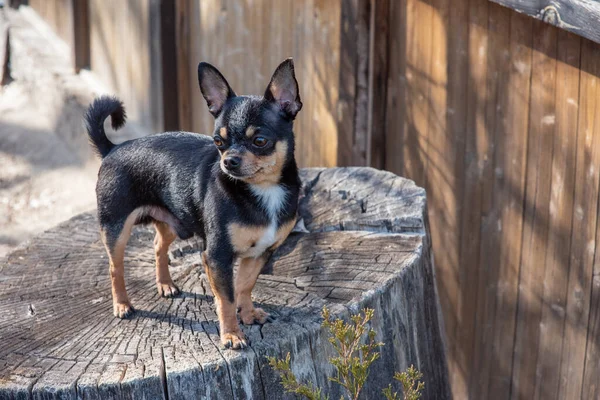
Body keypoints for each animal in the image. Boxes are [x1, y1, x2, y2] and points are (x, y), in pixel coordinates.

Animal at [85, 57, 300, 348]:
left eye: (260, 141)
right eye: (218, 141)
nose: (228, 161)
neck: (263, 190)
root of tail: (112, 148)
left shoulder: (259, 253)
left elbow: (245, 286)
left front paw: (248, 314)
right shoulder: (217, 256)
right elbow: (226, 298)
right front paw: (231, 334)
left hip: (171, 221)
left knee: (158, 247)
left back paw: (165, 285)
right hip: (115, 228)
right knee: (114, 267)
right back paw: (122, 305)